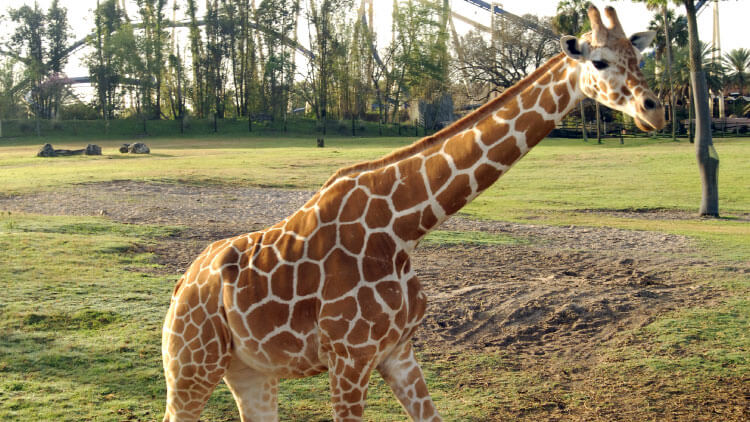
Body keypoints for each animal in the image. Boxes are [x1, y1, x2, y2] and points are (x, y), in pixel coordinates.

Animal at [161, 5, 665, 422]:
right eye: (599, 61)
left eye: (638, 59)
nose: (654, 110)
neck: (403, 228)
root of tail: (183, 283)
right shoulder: (349, 359)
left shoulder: (398, 352)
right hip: (190, 366)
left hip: (248, 371)